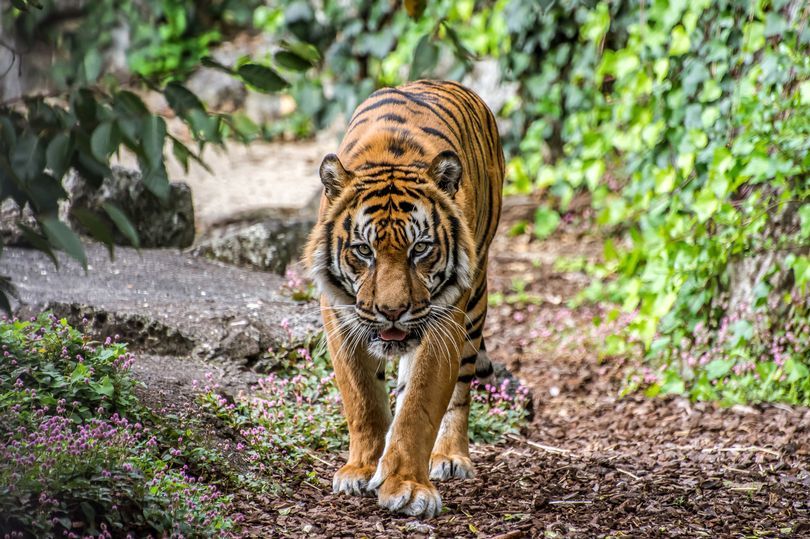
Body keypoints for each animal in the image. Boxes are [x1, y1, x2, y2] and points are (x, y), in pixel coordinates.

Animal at [306, 80, 502, 520]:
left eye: (420, 248)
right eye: (364, 250)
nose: (392, 312)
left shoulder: (445, 319)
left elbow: (420, 405)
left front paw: (408, 487)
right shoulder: (339, 315)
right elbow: (363, 399)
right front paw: (361, 469)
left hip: (475, 304)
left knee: (460, 391)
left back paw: (450, 456)